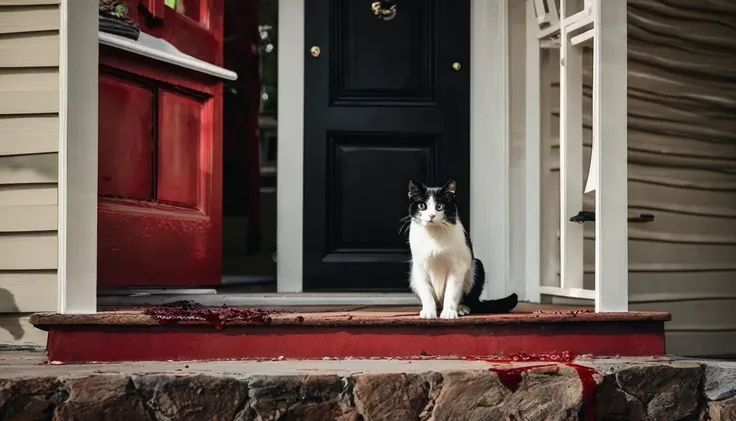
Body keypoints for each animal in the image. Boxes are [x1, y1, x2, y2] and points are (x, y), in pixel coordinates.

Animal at [406, 177, 520, 318]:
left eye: (439, 206)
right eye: (422, 206)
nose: (431, 216)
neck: (434, 233)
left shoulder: (458, 265)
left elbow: (452, 290)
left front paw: (449, 312)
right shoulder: (419, 266)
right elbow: (425, 290)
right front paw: (428, 312)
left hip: (476, 266)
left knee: (469, 298)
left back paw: (461, 308)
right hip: (412, 273)